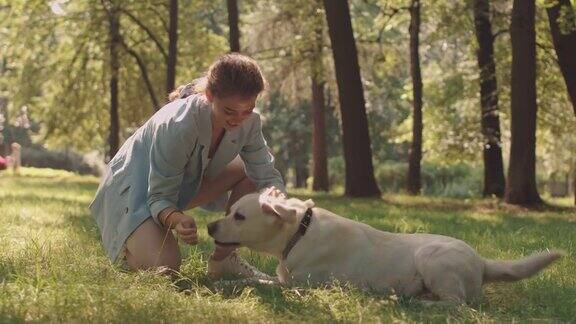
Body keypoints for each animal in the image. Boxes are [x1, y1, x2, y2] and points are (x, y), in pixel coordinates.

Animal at [208, 191, 564, 302]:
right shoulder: (282, 278)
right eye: (229, 210)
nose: (209, 226)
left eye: (239, 216)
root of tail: (481, 261)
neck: (300, 231)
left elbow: (256, 282)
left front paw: (223, 283)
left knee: (458, 305)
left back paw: (418, 303)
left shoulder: (299, 286)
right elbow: (257, 277)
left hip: (432, 259)